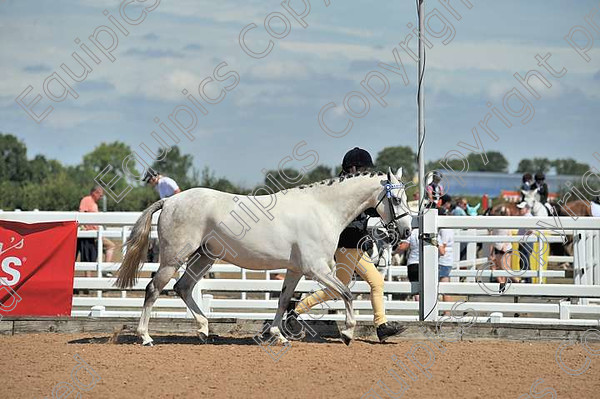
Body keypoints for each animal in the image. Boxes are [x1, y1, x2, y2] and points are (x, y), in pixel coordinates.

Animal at [115, 169, 412, 346]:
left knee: (183, 287)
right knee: (153, 289)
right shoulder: (317, 269)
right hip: (174, 259)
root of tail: (170, 201)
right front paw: (348, 333)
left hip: (204, 257)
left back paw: (204, 331)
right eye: (396, 199)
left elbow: (283, 300)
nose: (406, 231)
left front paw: (278, 335)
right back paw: (146, 337)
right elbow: (347, 294)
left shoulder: (296, 270)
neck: (322, 209)